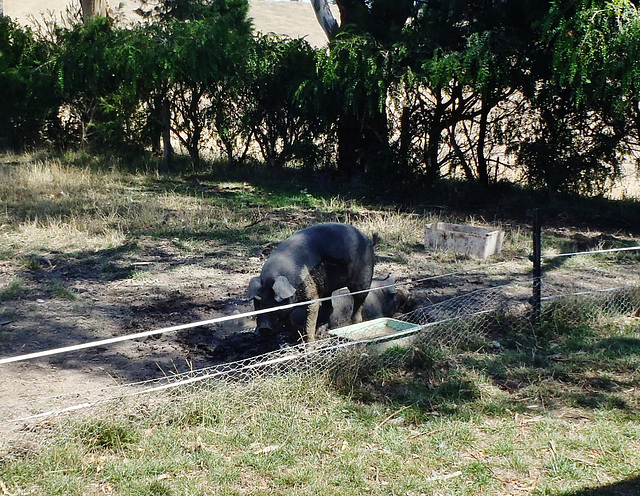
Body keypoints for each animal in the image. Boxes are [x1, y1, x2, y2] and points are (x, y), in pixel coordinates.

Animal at [246, 224, 376, 340]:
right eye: (257, 301)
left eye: (276, 301)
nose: (264, 328)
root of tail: (366, 238)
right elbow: (289, 323)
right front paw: (297, 334)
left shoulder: (311, 294)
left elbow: (310, 320)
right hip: (326, 288)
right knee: (329, 307)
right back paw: (320, 331)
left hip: (364, 276)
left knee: (360, 299)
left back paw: (354, 323)